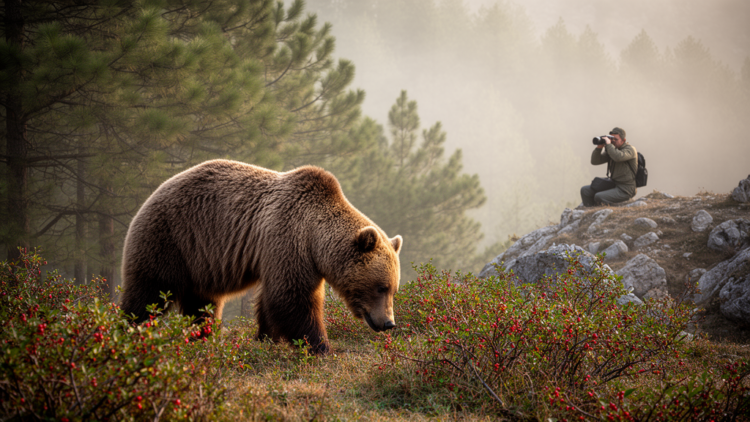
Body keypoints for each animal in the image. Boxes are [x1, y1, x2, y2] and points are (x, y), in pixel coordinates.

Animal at [120, 159, 402, 354]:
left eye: (393, 289)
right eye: (381, 287)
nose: (388, 323)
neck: (314, 237)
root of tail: (149, 198)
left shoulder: (287, 254)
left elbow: (272, 302)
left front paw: (266, 337)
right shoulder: (288, 238)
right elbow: (291, 299)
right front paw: (321, 346)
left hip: (199, 265)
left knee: (202, 305)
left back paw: (205, 336)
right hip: (169, 241)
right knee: (147, 296)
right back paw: (129, 332)